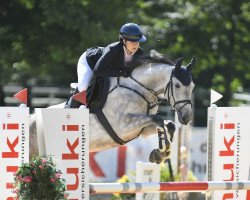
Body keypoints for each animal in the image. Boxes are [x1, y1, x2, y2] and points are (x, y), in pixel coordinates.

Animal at [29, 50, 195, 164]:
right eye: (177, 85)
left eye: (192, 86)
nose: (186, 117)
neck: (139, 88)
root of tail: (31, 119)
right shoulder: (123, 125)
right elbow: (158, 119)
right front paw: (162, 151)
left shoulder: (141, 130)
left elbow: (168, 124)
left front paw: (161, 153)